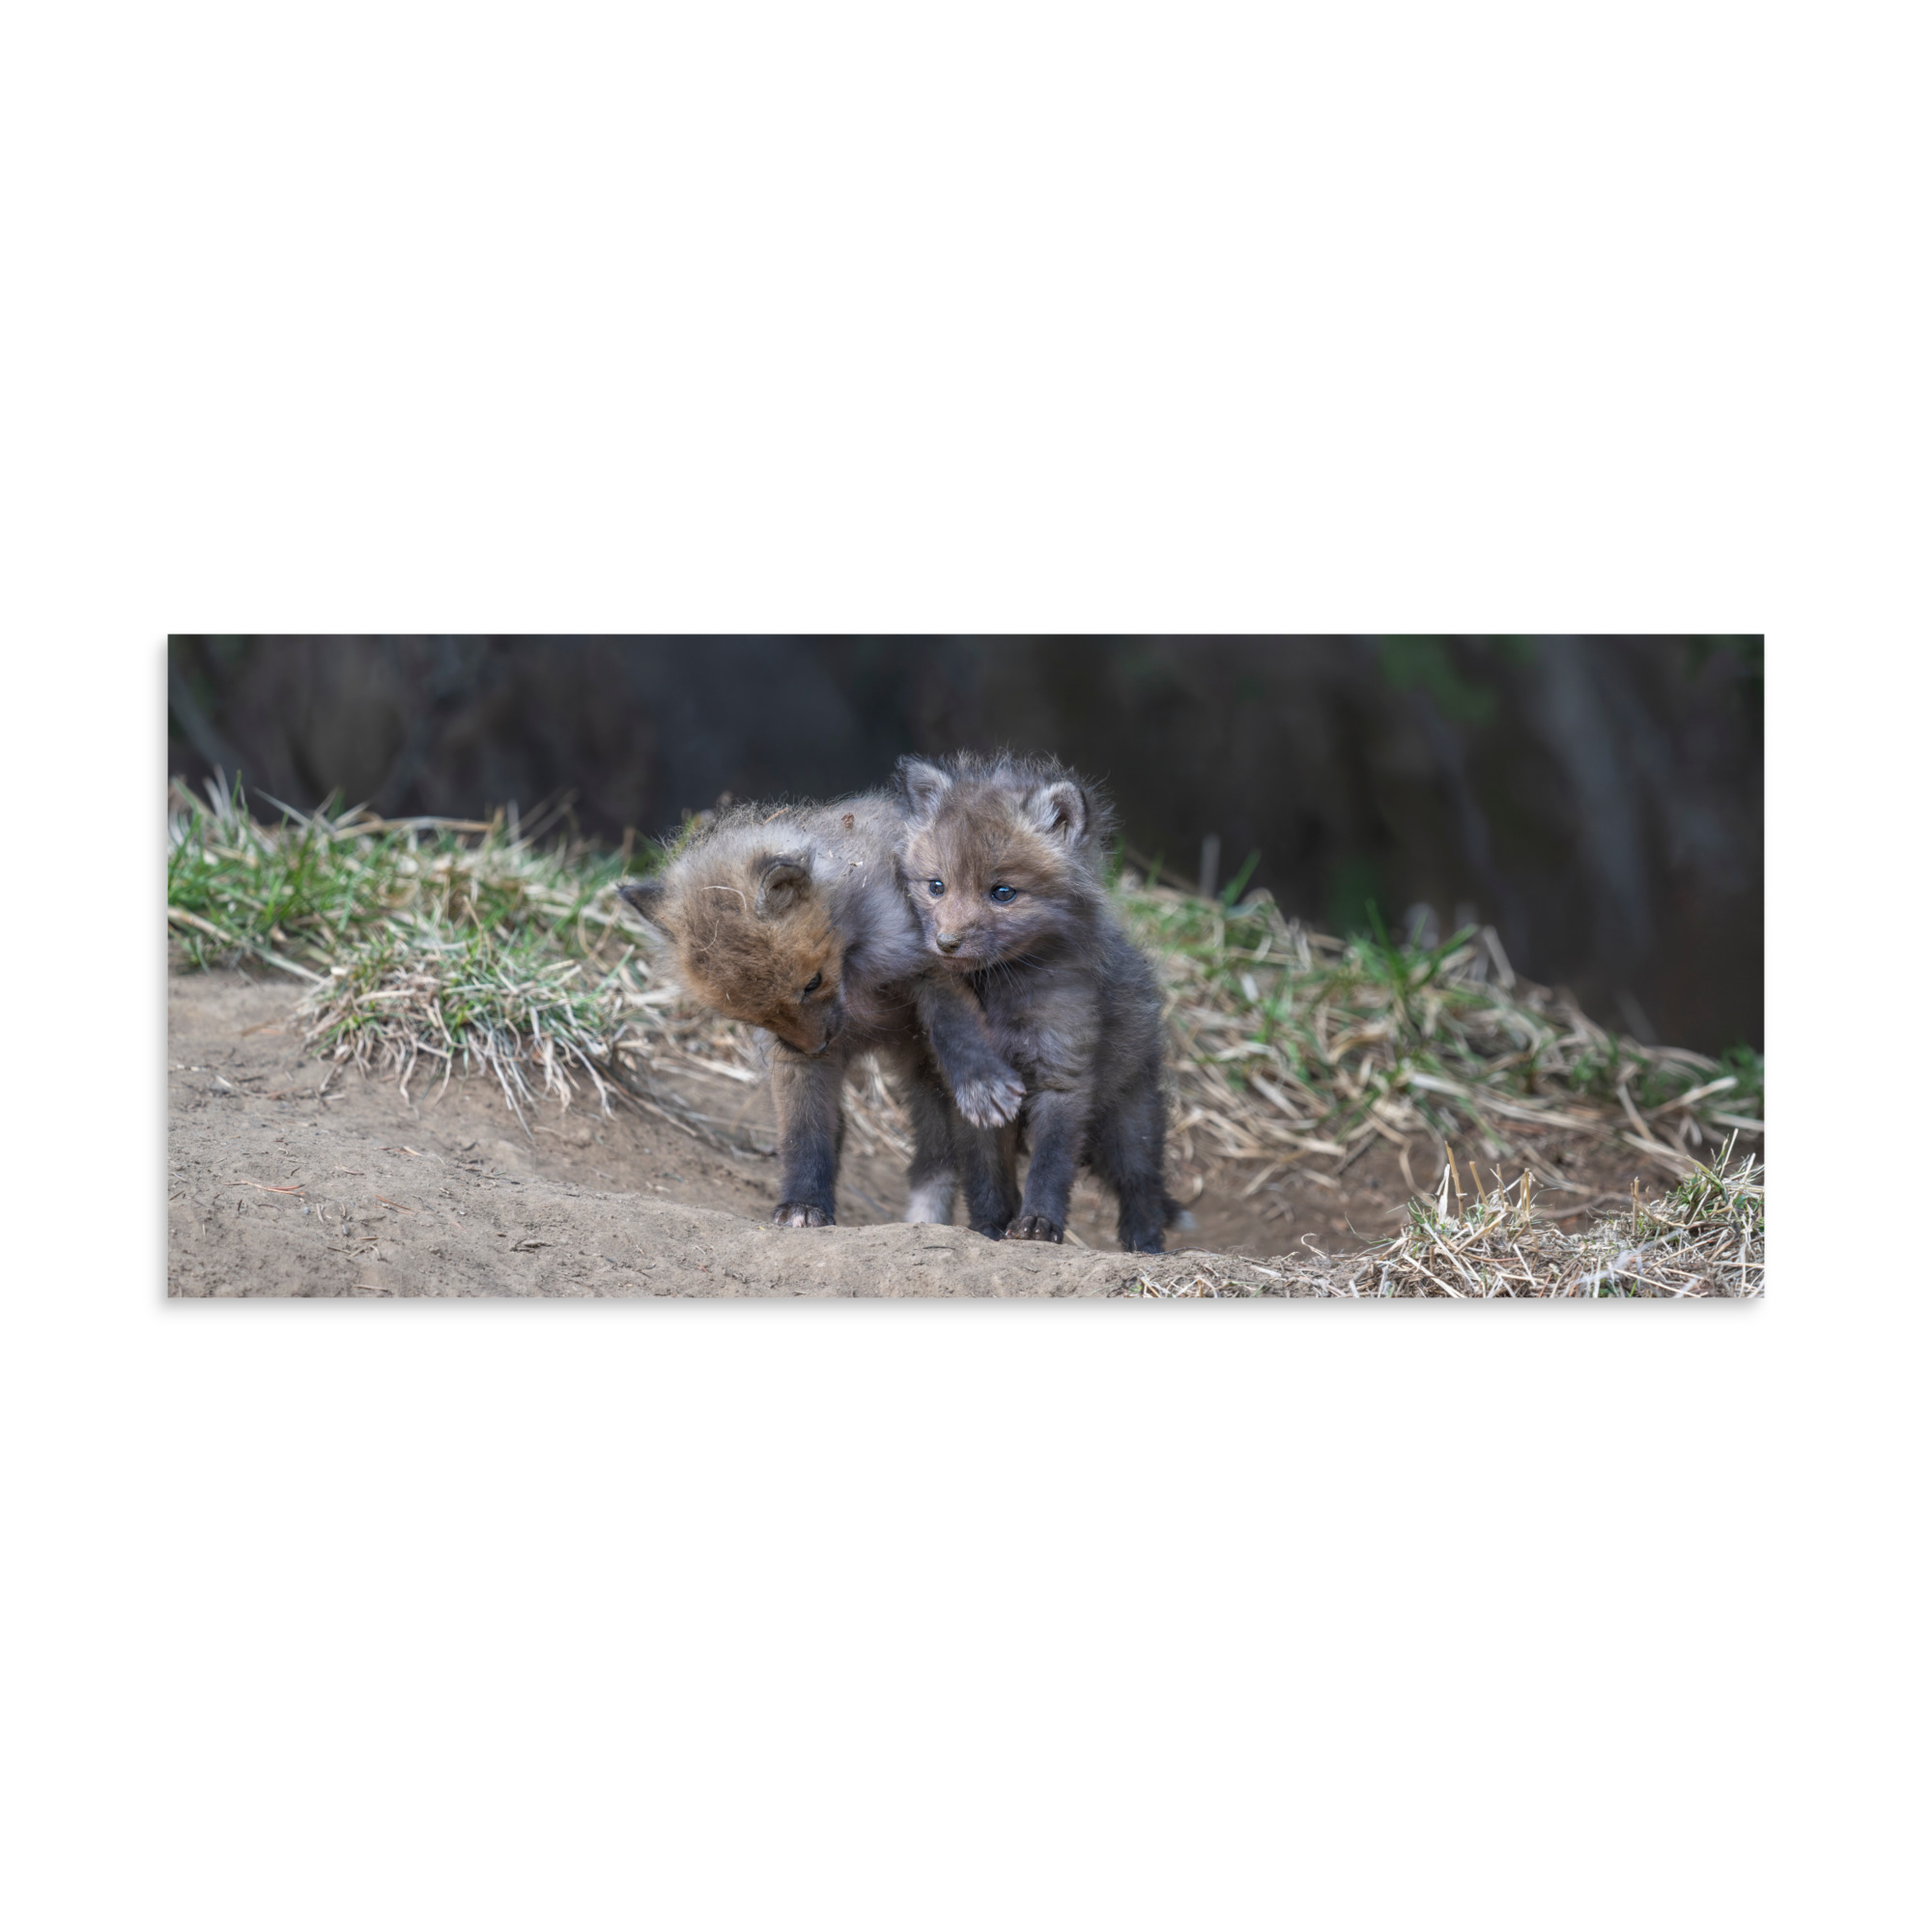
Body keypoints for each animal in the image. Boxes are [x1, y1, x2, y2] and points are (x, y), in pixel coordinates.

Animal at [617, 795, 1025, 1230]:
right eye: (752, 1015)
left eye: (812, 983)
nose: (816, 1047)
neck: (854, 975)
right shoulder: (791, 1057)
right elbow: (804, 1132)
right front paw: (804, 1204)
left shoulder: (931, 964)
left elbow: (955, 1028)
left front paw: (981, 1082)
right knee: (933, 1158)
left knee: (978, 1162)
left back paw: (992, 1226)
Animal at [893, 751, 1176, 1253]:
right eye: (936, 886)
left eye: (1003, 893)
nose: (945, 943)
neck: (1001, 995)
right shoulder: (975, 1095)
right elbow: (986, 1174)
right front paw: (988, 1228)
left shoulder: (1062, 1074)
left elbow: (1050, 1165)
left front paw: (1038, 1224)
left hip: (1129, 1122)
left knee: (1142, 1186)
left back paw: (1146, 1247)